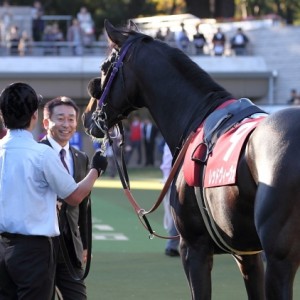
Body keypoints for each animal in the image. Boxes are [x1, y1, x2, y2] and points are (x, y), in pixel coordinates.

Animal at [82, 19, 300, 298]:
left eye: (104, 68)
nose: (87, 117)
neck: (198, 115)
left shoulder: (194, 247)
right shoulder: (248, 253)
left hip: (279, 261)